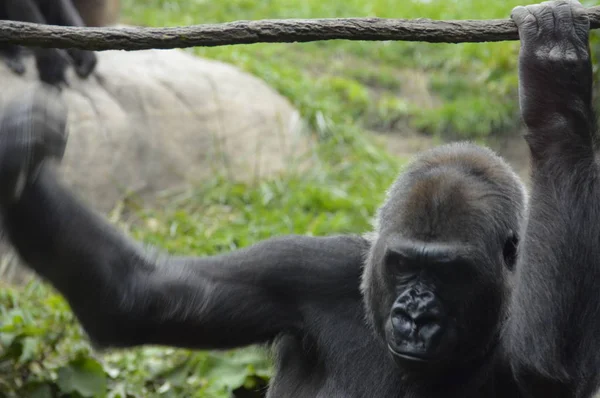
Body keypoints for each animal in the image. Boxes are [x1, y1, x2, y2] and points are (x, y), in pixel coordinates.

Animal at [1, 1, 600, 396]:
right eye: (403, 264)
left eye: (450, 272)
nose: (413, 316)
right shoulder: (311, 271)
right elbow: (137, 296)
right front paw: (16, 142)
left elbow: (546, 365)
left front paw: (555, 91)